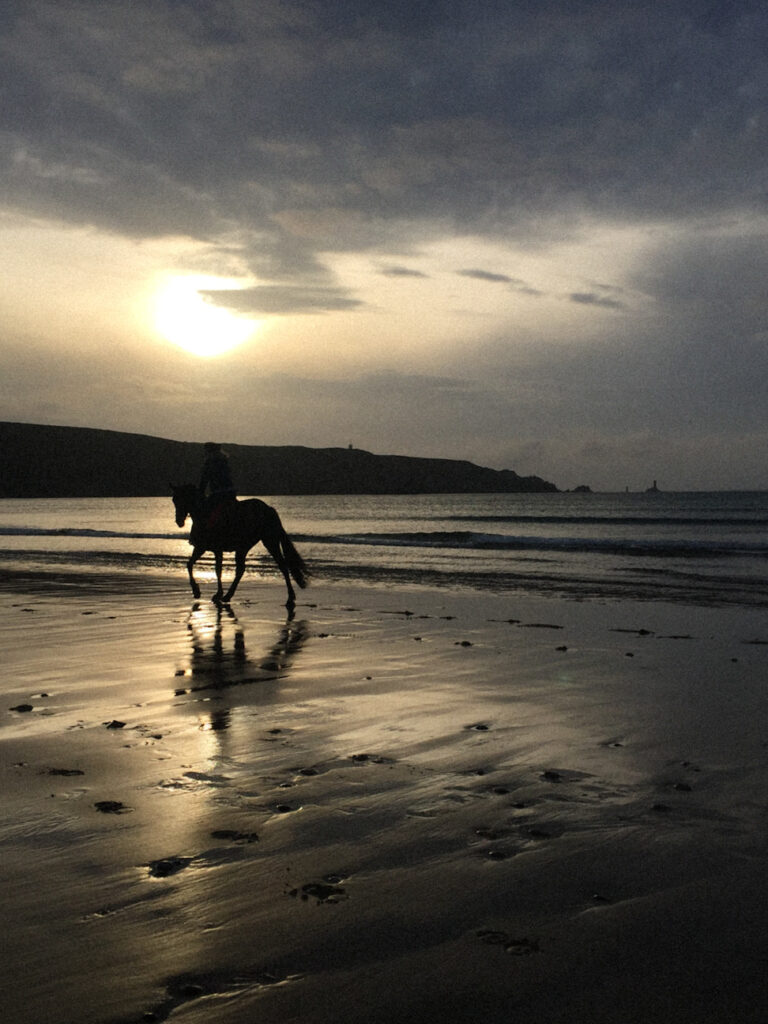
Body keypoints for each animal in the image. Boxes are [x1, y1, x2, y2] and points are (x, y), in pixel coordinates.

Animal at [172, 481, 309, 606]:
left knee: (282, 566)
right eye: (174, 500)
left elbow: (217, 570)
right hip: (244, 546)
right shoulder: (201, 547)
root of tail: (269, 509)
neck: (204, 514)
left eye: (183, 499)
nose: (179, 521)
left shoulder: (215, 549)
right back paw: (228, 596)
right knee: (241, 570)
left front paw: (214, 593)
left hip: (269, 541)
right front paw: (198, 591)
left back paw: (290, 597)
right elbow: (190, 564)